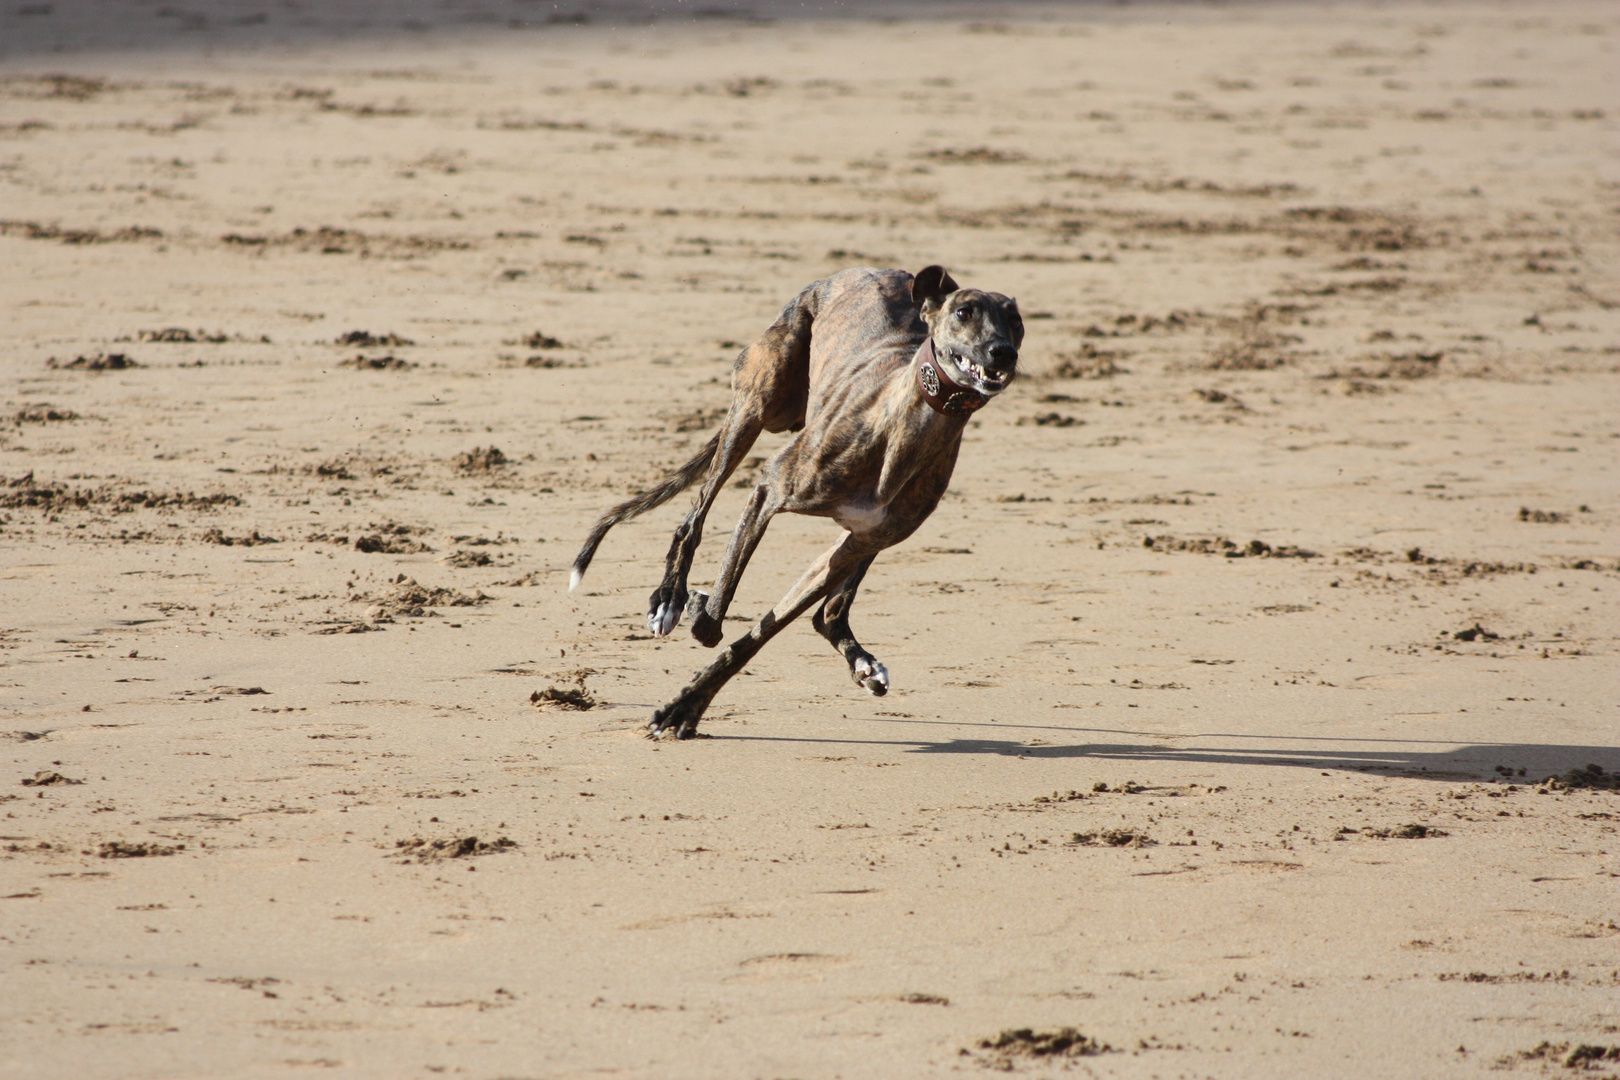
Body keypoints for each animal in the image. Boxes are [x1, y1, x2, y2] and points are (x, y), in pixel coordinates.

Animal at [576, 268, 1017, 738]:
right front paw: (694, 609)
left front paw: (687, 706)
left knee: (829, 612)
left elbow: (756, 635)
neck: (907, 426)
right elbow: (712, 620)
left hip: (868, 537)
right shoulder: (768, 491)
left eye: (1016, 321)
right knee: (695, 516)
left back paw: (862, 662)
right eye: (964, 312)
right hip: (757, 405)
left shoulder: (852, 547)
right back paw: (670, 597)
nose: (1003, 352)